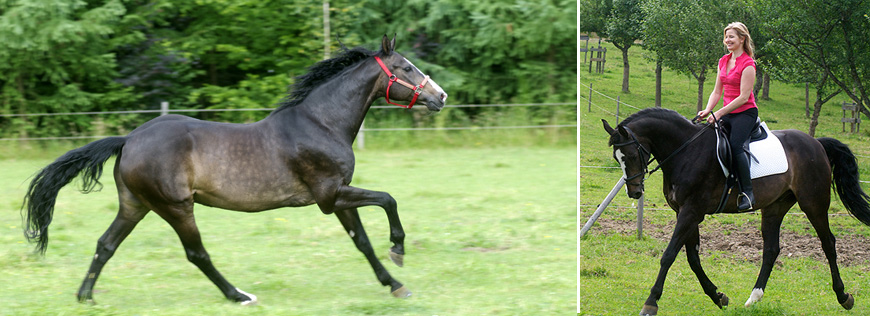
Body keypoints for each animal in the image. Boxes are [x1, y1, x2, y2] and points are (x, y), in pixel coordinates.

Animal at [23, 35, 446, 306]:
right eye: (406, 67)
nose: (440, 96)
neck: (321, 124)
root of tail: (128, 140)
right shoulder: (329, 195)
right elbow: (388, 200)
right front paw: (399, 251)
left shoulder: (338, 195)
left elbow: (362, 242)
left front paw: (396, 285)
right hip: (175, 207)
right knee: (197, 253)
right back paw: (239, 295)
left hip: (135, 205)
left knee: (105, 244)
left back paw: (85, 297)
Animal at [604, 108, 870, 314]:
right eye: (616, 158)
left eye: (630, 154)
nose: (634, 192)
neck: (686, 151)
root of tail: (816, 143)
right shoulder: (685, 212)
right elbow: (692, 258)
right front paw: (718, 296)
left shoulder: (691, 211)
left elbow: (669, 255)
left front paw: (651, 303)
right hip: (774, 207)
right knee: (771, 250)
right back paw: (754, 298)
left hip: (813, 203)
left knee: (828, 243)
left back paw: (843, 296)